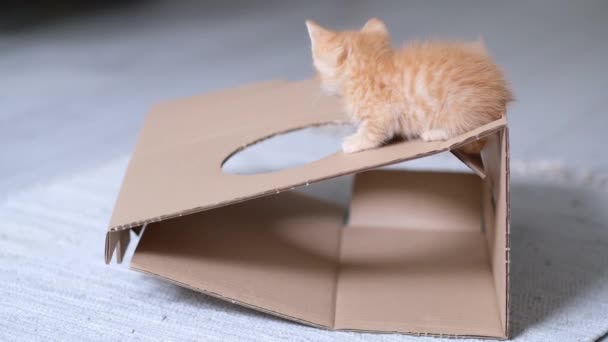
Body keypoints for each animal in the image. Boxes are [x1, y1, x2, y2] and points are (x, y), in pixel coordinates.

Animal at [306, 17, 510, 154]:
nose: (319, 83)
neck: (369, 68)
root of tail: (500, 94)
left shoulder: (383, 111)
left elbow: (373, 131)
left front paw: (355, 142)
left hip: (461, 104)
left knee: (468, 125)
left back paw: (435, 133)